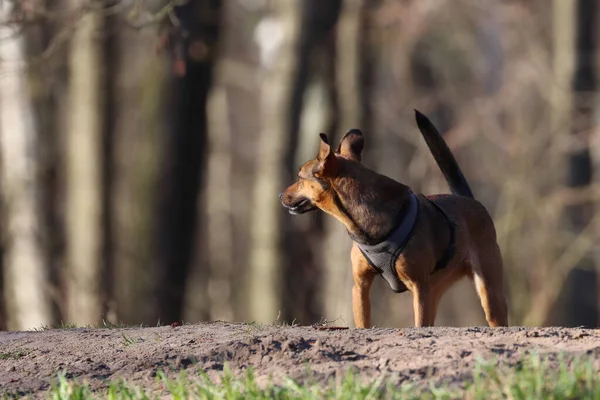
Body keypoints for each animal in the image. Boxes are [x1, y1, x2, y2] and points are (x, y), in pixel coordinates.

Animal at [278, 110, 508, 328]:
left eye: (300, 177)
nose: (280, 195)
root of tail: (470, 200)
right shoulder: (360, 285)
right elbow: (363, 322)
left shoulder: (418, 286)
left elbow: (419, 323)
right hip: (434, 289)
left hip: (488, 291)